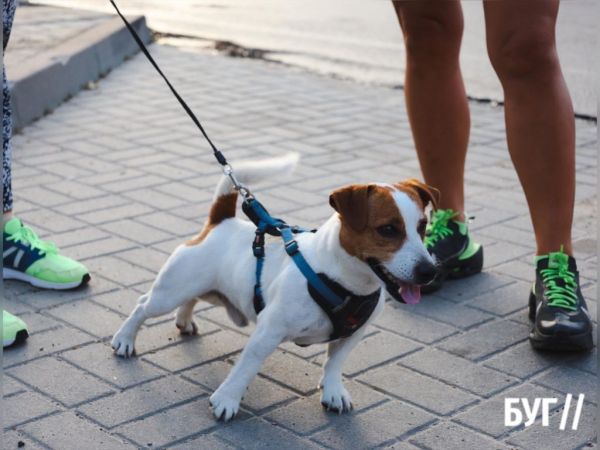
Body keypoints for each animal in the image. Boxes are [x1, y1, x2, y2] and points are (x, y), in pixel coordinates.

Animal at [112, 155, 438, 422]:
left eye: (423, 226)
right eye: (388, 229)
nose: (429, 271)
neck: (344, 280)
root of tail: (221, 221)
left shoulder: (353, 333)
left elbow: (335, 362)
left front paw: (333, 391)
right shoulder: (268, 332)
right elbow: (246, 367)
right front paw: (227, 399)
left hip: (211, 292)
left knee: (190, 299)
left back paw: (184, 320)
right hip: (169, 293)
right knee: (143, 304)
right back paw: (125, 340)